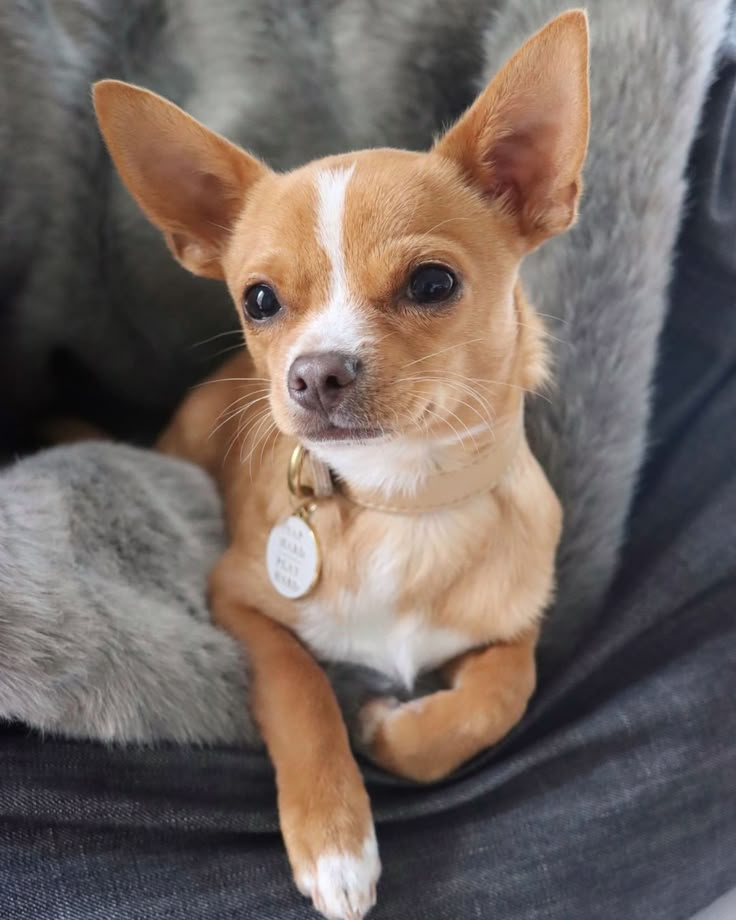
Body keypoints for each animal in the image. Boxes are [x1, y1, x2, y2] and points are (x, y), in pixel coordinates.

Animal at [96, 14, 592, 920]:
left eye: (432, 283)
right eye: (259, 300)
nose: (314, 373)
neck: (402, 500)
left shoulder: (515, 625)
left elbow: (506, 691)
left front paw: (396, 730)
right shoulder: (239, 602)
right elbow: (300, 688)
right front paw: (335, 840)